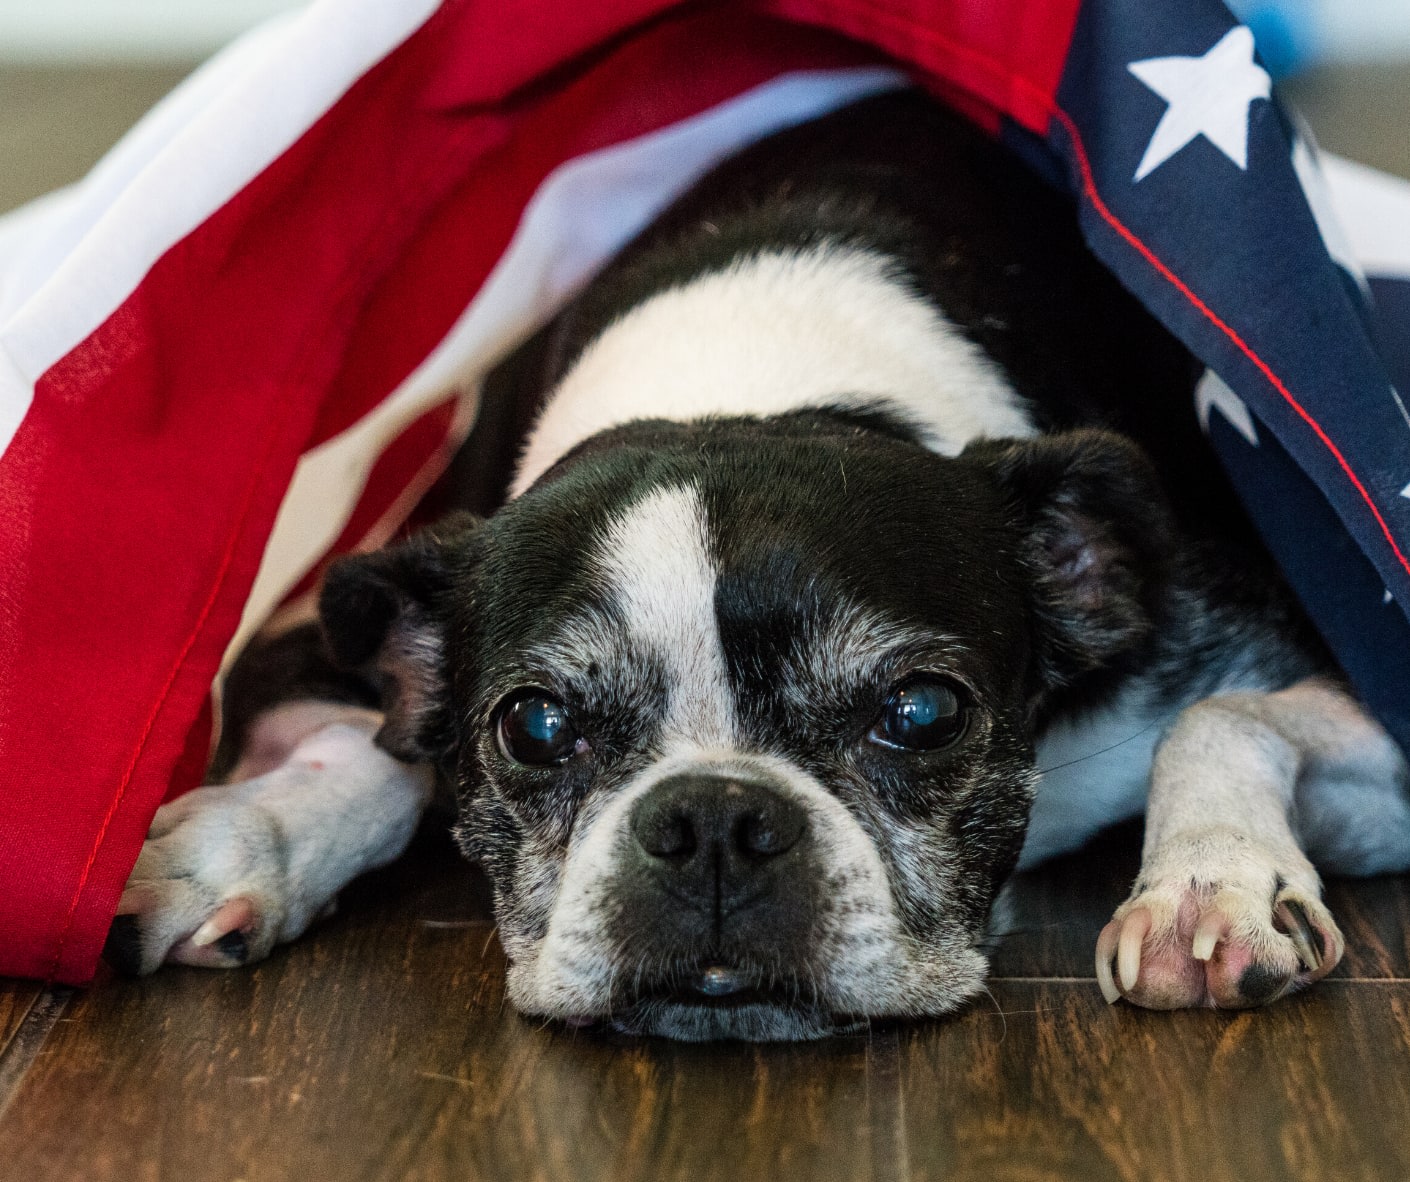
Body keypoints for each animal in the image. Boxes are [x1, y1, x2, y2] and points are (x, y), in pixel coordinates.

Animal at [105, 92, 1410, 1040]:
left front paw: (1210, 885)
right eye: (533, 727)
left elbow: (1222, 716)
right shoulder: (320, 632)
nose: (715, 821)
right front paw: (232, 841)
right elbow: (379, 757)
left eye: (924, 712)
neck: (749, 381)